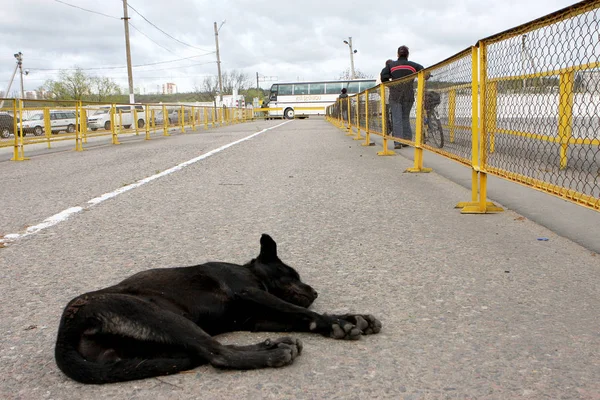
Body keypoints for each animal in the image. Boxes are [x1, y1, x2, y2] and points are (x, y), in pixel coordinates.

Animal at [57, 234, 384, 384]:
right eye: (292, 274)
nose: (314, 292)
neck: (250, 271)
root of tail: (65, 332)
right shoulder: (251, 292)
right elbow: (300, 311)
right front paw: (339, 322)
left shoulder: (257, 318)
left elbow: (300, 318)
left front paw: (349, 318)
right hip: (165, 318)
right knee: (218, 354)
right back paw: (273, 353)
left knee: (210, 350)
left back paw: (271, 345)